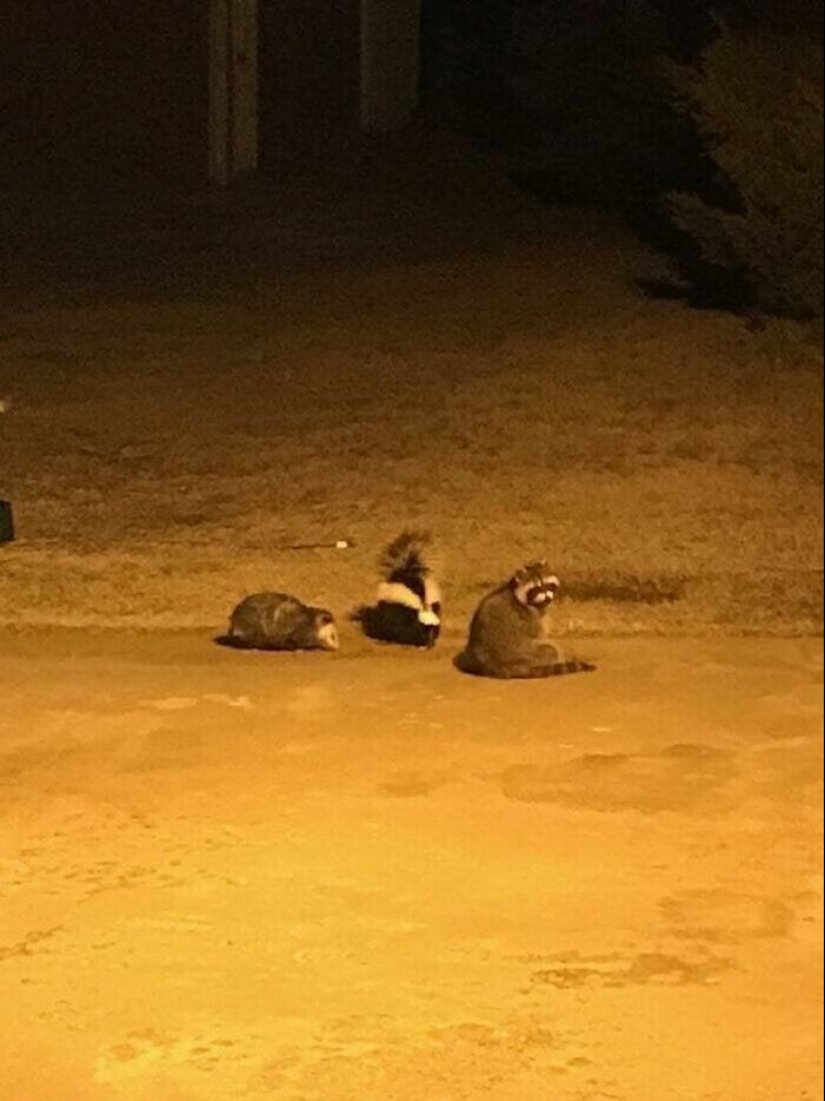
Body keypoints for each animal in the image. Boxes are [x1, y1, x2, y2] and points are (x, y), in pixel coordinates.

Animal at [457, 562, 595, 679]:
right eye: (537, 589)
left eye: (548, 585)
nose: (547, 598)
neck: (513, 589)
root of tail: (496, 666)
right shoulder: (532, 617)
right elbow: (538, 634)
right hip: (524, 654)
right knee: (550, 650)